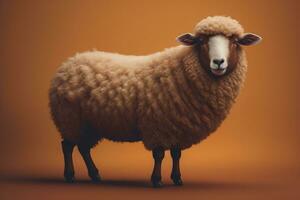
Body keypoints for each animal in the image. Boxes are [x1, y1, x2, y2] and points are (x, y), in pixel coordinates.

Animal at [48, 15, 262, 188]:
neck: (181, 70)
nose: (218, 62)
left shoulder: (180, 125)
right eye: (201, 41)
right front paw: (157, 180)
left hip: (89, 123)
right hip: (70, 118)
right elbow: (159, 155)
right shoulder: (158, 124)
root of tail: (69, 62)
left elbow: (176, 154)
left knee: (83, 148)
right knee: (67, 146)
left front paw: (177, 179)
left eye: (235, 42)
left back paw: (95, 175)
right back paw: (70, 176)